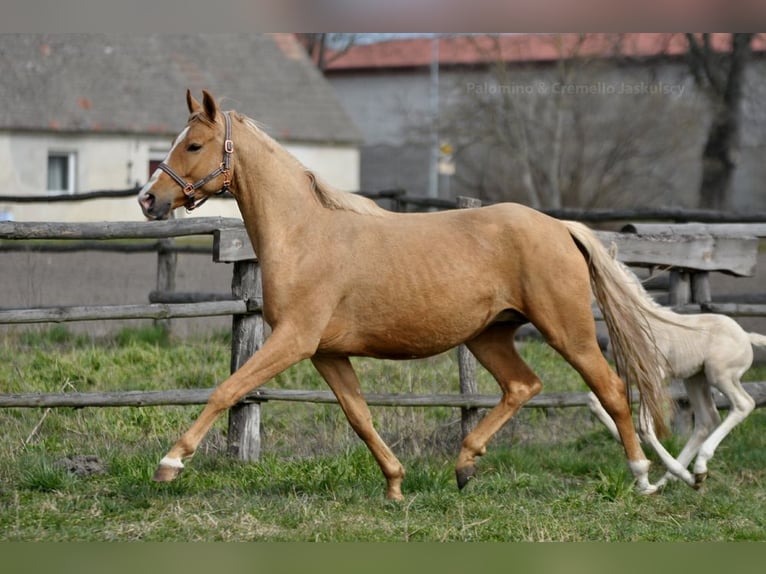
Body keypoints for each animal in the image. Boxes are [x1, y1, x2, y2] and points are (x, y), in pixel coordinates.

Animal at [137, 89, 673, 499]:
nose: (148, 199)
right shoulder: (327, 353)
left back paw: (642, 479)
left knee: (612, 388)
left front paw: (170, 464)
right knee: (523, 386)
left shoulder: (293, 340)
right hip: (488, 336)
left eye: (194, 144)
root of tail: (561, 228)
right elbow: (358, 416)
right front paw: (395, 484)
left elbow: (227, 389)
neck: (304, 234)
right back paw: (464, 465)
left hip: (567, 330)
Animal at [587, 259, 763, 488]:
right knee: (707, 419)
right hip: (695, 379)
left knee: (743, 404)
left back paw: (696, 466)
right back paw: (679, 478)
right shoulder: (626, 376)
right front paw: (625, 439)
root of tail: (746, 336)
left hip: (720, 375)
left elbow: (645, 426)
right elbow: (596, 402)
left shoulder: (653, 378)